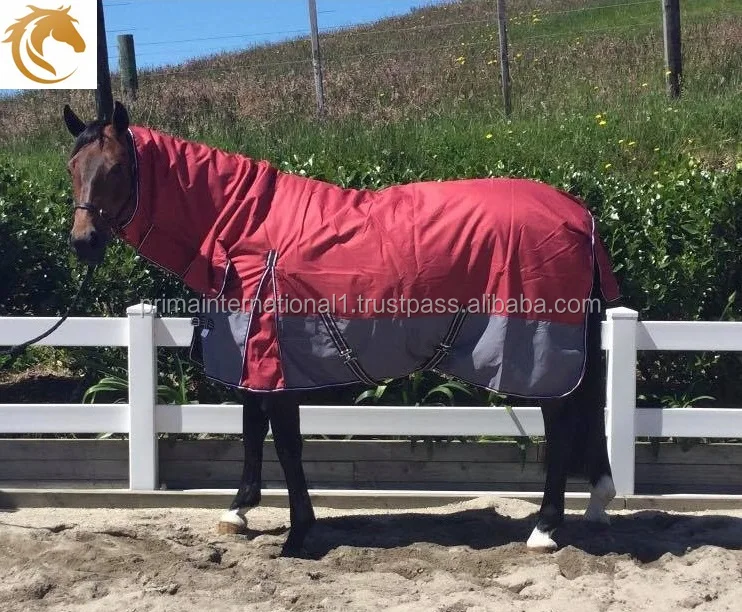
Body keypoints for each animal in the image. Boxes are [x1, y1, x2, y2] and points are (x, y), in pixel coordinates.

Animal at [63, 101, 619, 556]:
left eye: (116, 168)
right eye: (72, 168)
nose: (83, 242)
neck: (245, 226)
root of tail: (580, 214)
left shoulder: (275, 360)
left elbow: (286, 444)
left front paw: (298, 534)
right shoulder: (252, 356)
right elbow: (250, 431)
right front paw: (237, 511)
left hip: (536, 354)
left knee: (562, 422)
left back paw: (545, 529)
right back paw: (596, 503)